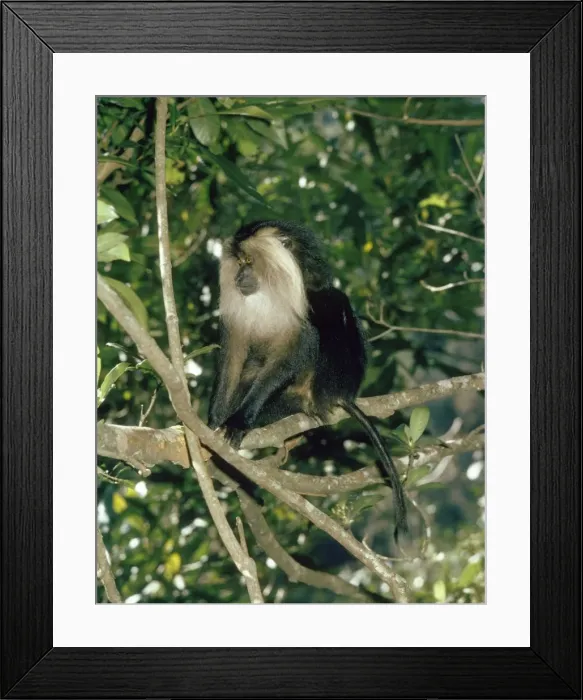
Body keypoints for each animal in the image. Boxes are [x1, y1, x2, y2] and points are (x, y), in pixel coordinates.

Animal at [208, 220, 408, 541]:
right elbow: (233, 358)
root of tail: (341, 395)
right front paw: (213, 423)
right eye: (238, 262)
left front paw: (238, 422)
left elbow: (298, 346)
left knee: (328, 307)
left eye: (249, 260)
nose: (239, 276)